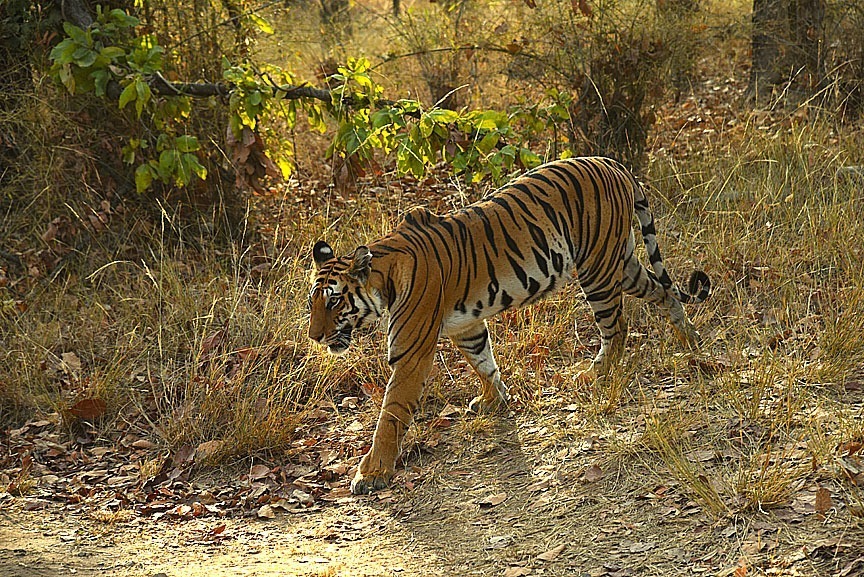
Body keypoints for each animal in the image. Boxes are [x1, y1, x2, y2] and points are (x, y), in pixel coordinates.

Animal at [308, 155, 712, 492]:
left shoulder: (411, 352)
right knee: (664, 292)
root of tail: (611, 162)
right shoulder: (465, 326)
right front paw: (494, 400)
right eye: (312, 302)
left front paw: (372, 472)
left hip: (597, 268)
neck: (384, 280)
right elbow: (483, 362)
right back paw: (690, 340)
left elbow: (390, 413)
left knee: (617, 327)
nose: (315, 337)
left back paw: (595, 374)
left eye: (334, 300)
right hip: (622, 262)